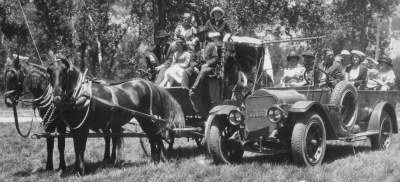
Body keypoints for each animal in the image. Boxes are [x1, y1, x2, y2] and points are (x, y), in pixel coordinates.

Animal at [46, 57, 184, 174]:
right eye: (51, 73)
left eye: (64, 73)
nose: (56, 95)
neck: (81, 93)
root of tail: (152, 85)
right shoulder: (75, 127)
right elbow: (76, 147)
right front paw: (76, 169)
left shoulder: (84, 127)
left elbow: (81, 147)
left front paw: (81, 169)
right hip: (143, 119)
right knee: (152, 135)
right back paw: (155, 159)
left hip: (149, 118)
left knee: (157, 135)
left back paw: (159, 159)